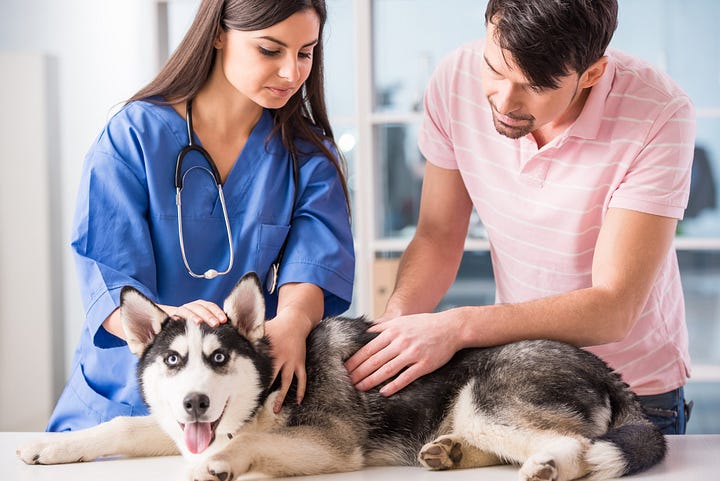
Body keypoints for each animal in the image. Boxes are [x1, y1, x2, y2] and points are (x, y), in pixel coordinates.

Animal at [16, 272, 668, 478]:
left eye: (220, 358)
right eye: (174, 361)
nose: (196, 404)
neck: (266, 389)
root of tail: (600, 364)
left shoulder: (330, 446)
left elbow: (244, 448)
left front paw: (222, 463)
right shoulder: (175, 426)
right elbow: (121, 427)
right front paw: (50, 445)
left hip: (487, 399)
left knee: (574, 445)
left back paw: (546, 466)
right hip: (472, 412)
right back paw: (451, 452)